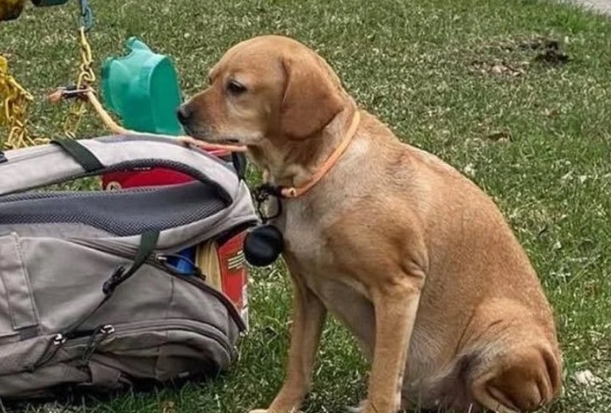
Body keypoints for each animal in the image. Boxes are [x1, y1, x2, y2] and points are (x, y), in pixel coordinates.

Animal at [177, 34, 564, 412]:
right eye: (212, 79)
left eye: (236, 87)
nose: (180, 113)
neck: (314, 176)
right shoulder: (308, 291)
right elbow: (299, 365)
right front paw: (280, 408)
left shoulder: (399, 288)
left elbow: (383, 381)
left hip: (501, 337)